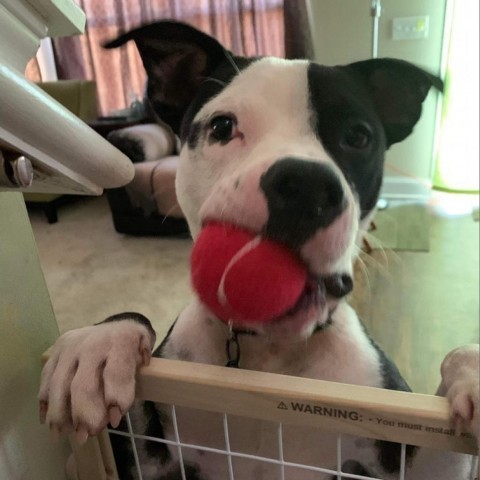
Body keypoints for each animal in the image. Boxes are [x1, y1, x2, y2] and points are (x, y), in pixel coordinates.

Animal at [38, 20, 480, 478]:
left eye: (358, 137)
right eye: (221, 127)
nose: (305, 184)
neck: (270, 350)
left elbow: (458, 361)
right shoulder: (152, 461)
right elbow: (131, 320)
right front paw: (96, 346)